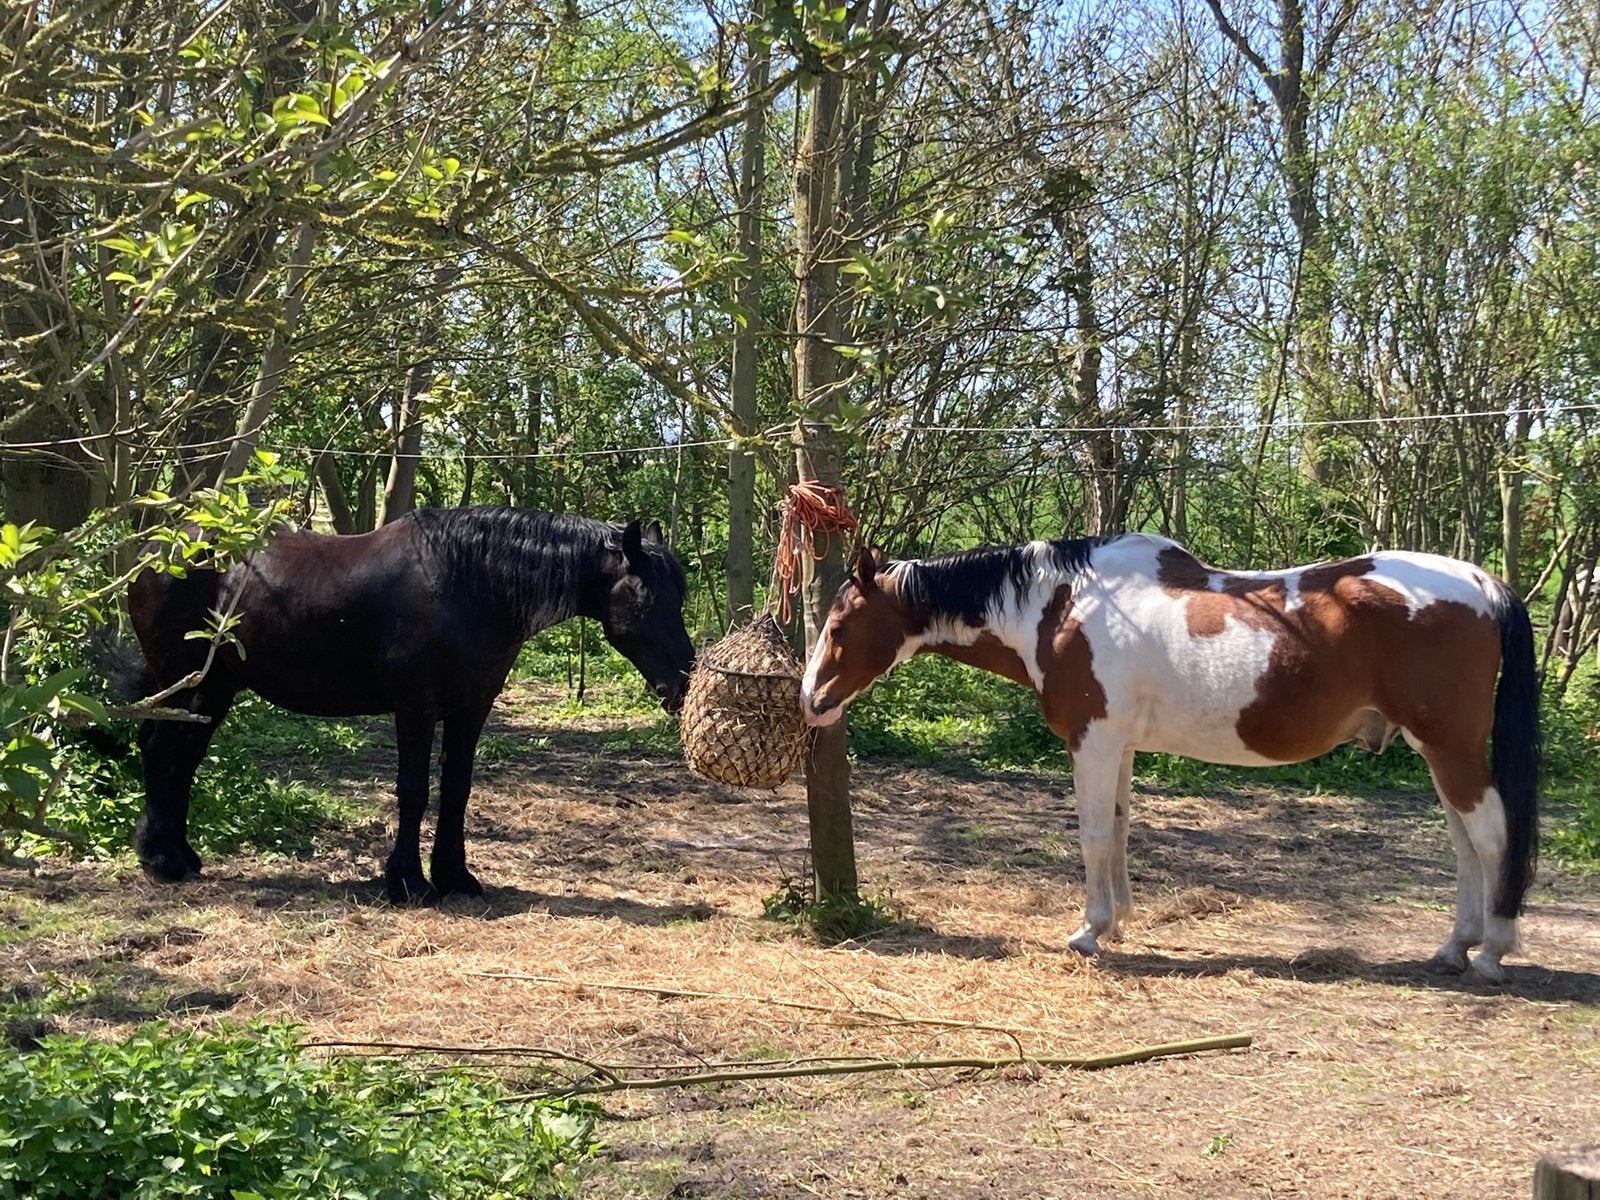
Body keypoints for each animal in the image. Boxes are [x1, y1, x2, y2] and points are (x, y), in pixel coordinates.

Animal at [121, 507, 696, 903]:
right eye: (645, 601)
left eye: (680, 597)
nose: (682, 685)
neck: (469, 584)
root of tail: (153, 554)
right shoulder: (416, 706)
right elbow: (414, 789)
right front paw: (408, 882)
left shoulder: (472, 707)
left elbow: (457, 788)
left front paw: (455, 876)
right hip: (185, 681)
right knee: (160, 751)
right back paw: (161, 860)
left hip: (214, 688)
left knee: (182, 759)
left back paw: (180, 855)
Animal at [799, 533, 1540, 981]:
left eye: (838, 627)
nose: (811, 701)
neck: (1061, 608)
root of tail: (1482, 582)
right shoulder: (1119, 743)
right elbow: (1122, 830)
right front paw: (1121, 921)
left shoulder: (1093, 739)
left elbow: (1095, 835)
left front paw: (1090, 932)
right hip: (1434, 749)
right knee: (1464, 842)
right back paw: (1454, 947)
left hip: (1449, 746)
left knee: (1489, 835)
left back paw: (1493, 951)